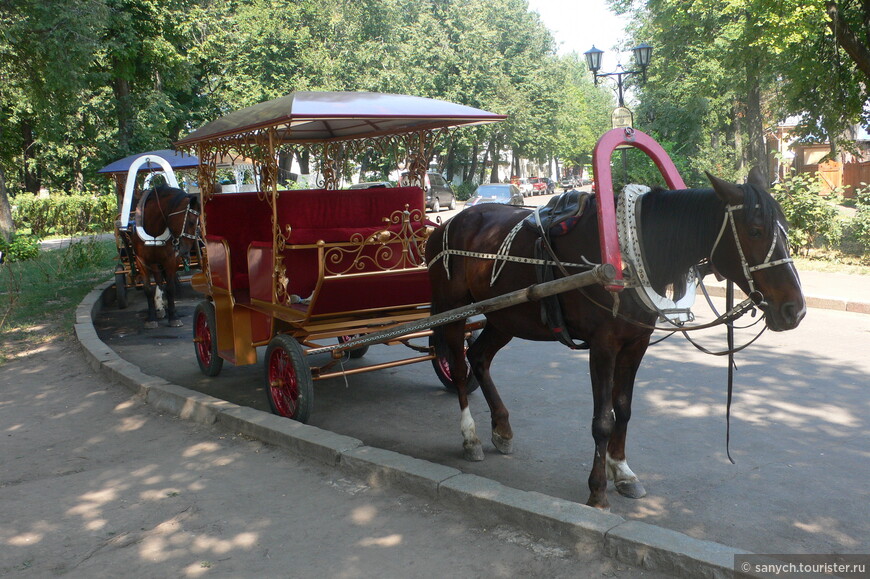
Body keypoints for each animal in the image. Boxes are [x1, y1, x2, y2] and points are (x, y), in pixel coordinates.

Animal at [130, 186, 200, 330]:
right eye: (191, 222)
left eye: (198, 224)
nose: (185, 252)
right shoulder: (141, 262)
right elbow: (147, 289)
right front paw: (151, 318)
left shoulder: (171, 261)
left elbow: (170, 288)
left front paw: (173, 317)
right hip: (154, 262)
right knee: (158, 280)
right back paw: (159, 307)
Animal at [426, 170, 808, 510]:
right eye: (756, 230)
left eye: (786, 230)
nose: (795, 309)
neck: (630, 253)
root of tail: (448, 223)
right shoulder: (603, 347)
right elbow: (603, 420)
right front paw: (597, 491)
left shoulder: (636, 343)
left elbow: (623, 409)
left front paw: (622, 471)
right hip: (454, 311)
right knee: (458, 367)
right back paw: (470, 436)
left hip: (505, 316)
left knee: (479, 358)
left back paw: (502, 428)